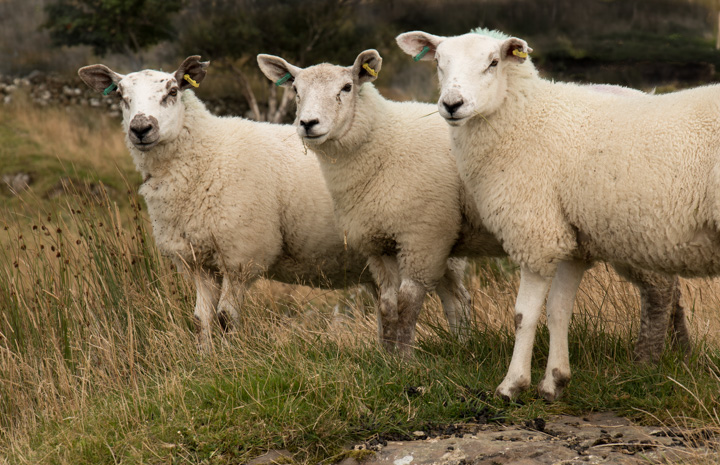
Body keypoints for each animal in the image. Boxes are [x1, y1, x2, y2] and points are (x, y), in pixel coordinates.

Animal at [79, 55, 472, 352]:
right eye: (121, 96)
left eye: (172, 91)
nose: (141, 128)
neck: (206, 154)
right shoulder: (197, 259)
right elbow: (201, 318)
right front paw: (206, 361)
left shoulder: (241, 253)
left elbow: (226, 317)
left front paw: (230, 364)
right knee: (399, 301)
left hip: (429, 238)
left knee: (456, 300)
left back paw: (461, 347)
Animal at [256, 51, 688, 362]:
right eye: (294, 89)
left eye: (346, 87)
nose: (308, 124)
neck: (381, 142)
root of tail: (646, 97)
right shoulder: (377, 242)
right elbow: (387, 305)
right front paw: (388, 360)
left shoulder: (423, 235)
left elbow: (409, 303)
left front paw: (405, 364)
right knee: (673, 288)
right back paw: (680, 352)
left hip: (629, 219)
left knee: (660, 289)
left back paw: (648, 362)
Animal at [394, 29, 704, 398]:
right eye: (439, 62)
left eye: (493, 62)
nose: (452, 104)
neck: (526, 117)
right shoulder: (570, 237)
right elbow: (558, 309)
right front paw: (552, 381)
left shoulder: (536, 232)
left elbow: (523, 314)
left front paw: (513, 385)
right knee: (671, 290)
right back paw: (681, 355)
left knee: (660, 292)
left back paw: (645, 362)